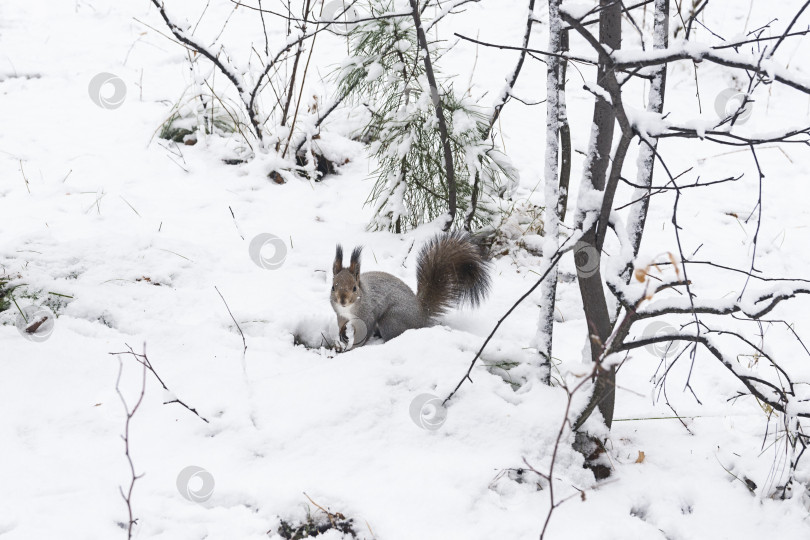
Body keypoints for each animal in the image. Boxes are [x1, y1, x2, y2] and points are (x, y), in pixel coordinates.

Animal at [330, 231, 492, 350]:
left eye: (354, 288)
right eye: (333, 287)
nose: (342, 300)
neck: (350, 307)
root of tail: (421, 315)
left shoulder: (367, 315)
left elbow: (364, 332)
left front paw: (353, 349)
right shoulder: (340, 314)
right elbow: (341, 324)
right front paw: (342, 334)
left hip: (391, 319)